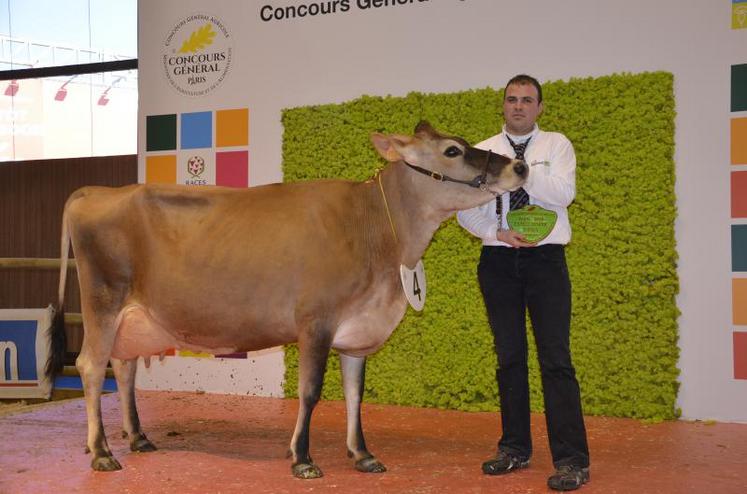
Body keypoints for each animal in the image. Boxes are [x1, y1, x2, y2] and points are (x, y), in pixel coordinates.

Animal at [46, 120, 524, 478]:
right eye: (452, 151)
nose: (519, 166)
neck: (375, 231)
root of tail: (97, 191)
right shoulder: (316, 322)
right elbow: (310, 391)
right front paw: (303, 458)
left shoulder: (356, 331)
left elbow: (354, 394)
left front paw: (362, 454)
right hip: (103, 301)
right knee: (91, 367)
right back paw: (102, 452)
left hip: (132, 317)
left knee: (123, 367)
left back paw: (139, 438)